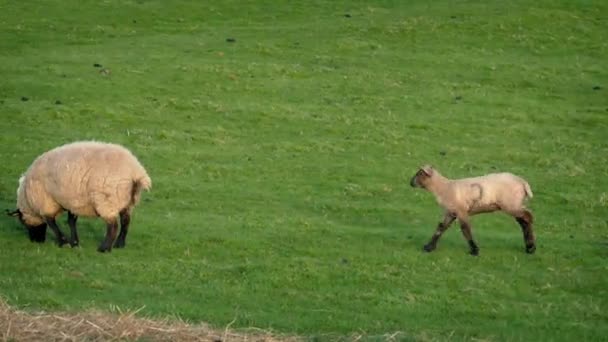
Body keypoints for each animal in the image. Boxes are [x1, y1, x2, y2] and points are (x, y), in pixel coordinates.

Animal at [6, 140, 152, 252]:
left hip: (106, 200)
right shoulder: (72, 201)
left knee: (113, 226)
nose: (37, 241)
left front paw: (63, 241)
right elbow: (71, 221)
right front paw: (74, 242)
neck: (28, 198)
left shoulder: (45, 201)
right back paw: (119, 244)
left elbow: (51, 222)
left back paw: (104, 248)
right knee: (126, 222)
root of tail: (136, 172)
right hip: (126, 201)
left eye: (23, 221)